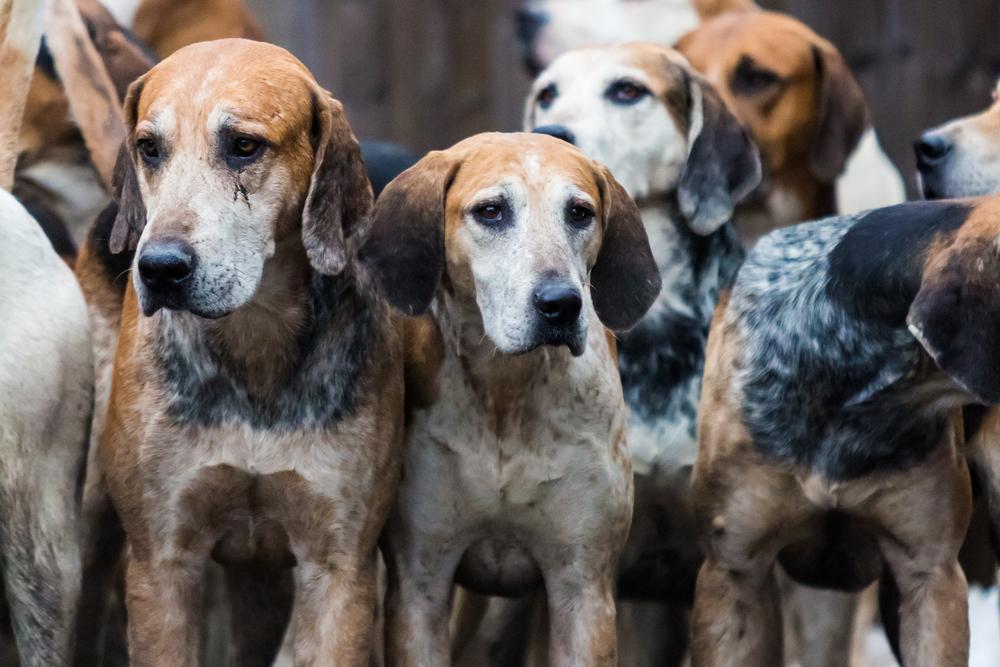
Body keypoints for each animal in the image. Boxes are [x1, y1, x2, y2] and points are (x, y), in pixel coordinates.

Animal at [362, 133, 664, 664]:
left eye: (580, 212)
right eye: (491, 211)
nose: (560, 304)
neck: (506, 390)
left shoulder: (582, 588)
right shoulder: (421, 584)